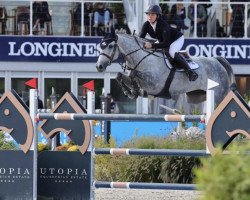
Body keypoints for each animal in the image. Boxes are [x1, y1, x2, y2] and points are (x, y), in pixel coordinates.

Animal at [95, 32, 234, 107]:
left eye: (111, 46)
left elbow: (134, 74)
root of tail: (217, 61)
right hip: (196, 97)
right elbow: (120, 75)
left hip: (218, 96)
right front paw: (131, 92)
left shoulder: (154, 84)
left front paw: (134, 90)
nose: (99, 66)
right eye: (101, 46)